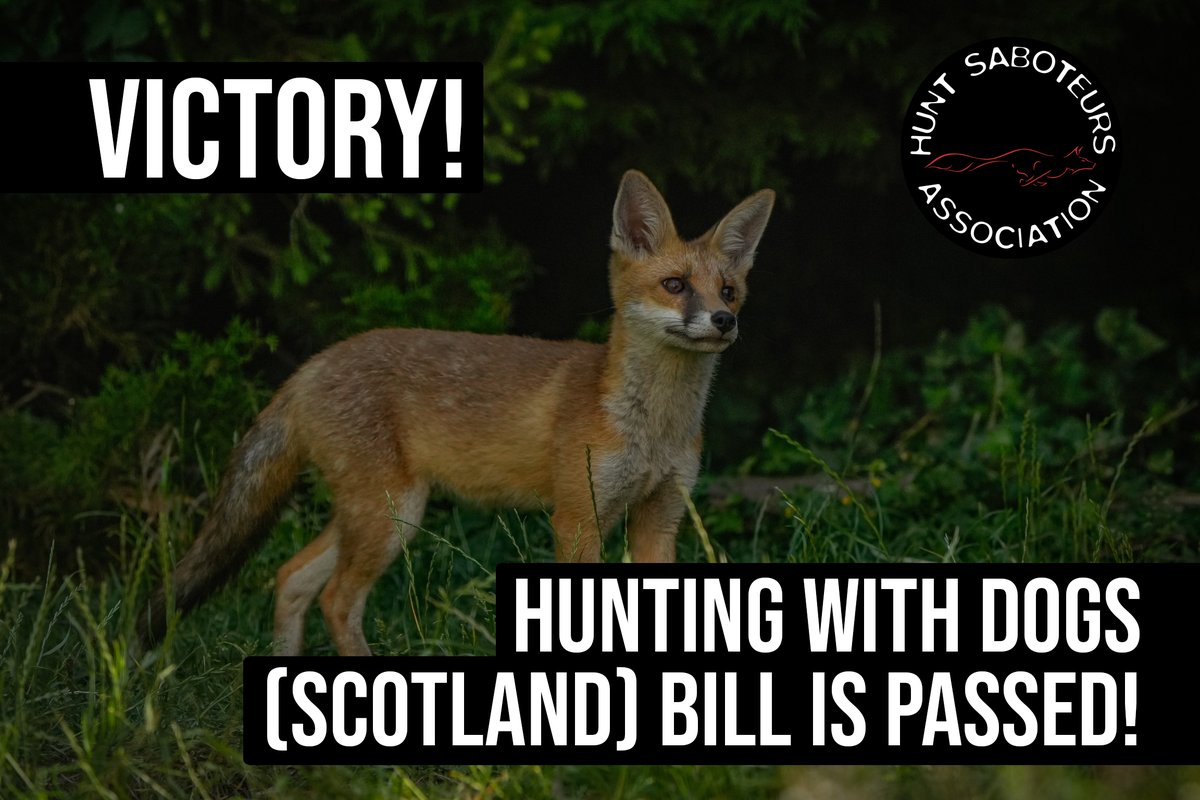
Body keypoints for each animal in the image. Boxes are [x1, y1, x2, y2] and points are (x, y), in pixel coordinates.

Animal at [139, 170, 775, 656]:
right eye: (675, 285)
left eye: (728, 291)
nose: (724, 321)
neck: (654, 428)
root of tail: (314, 364)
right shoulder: (577, 516)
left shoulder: (660, 515)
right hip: (394, 516)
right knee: (335, 600)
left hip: (372, 516)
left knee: (290, 577)